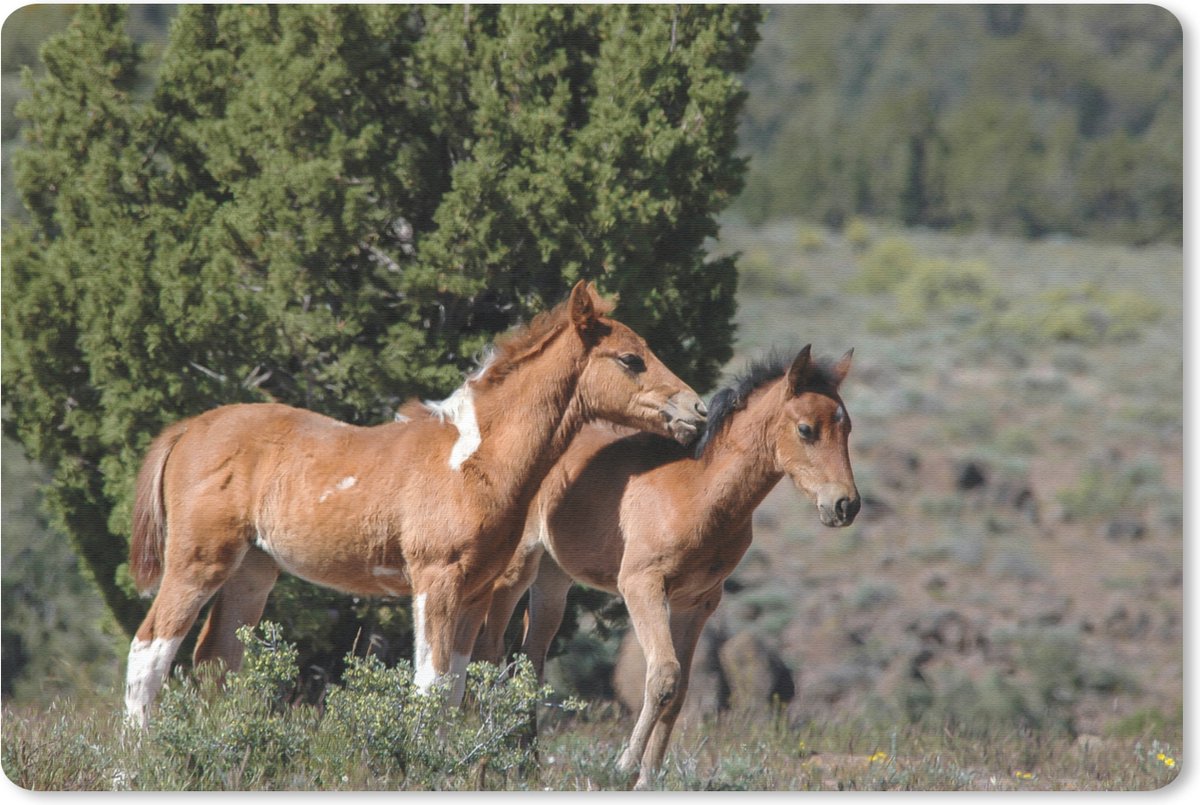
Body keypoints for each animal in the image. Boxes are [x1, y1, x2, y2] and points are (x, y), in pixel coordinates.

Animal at [123, 281, 708, 727]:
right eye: (631, 359)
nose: (697, 410)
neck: (475, 460)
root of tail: (188, 428)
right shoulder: (435, 580)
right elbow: (428, 685)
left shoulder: (476, 591)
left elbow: (451, 689)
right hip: (198, 560)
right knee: (148, 651)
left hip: (252, 570)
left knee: (215, 661)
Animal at [472, 345, 858, 788]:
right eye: (806, 429)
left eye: (847, 428)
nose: (845, 505)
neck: (698, 491)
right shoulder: (641, 585)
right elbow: (663, 677)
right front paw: (624, 765)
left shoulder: (698, 602)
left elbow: (682, 690)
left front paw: (648, 779)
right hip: (514, 571)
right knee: (488, 653)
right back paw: (481, 767)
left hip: (552, 581)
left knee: (529, 664)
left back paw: (528, 768)